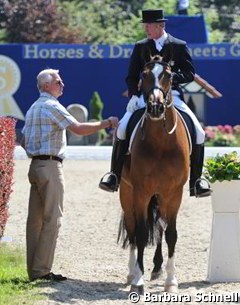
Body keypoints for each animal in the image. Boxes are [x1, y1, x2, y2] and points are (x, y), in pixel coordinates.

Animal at [117, 55, 189, 294]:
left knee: (160, 227)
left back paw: (157, 268)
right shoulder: (140, 192)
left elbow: (171, 234)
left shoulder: (174, 193)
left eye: (169, 75)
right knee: (132, 230)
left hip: (161, 196)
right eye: (144, 75)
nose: (156, 107)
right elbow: (139, 234)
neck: (161, 143)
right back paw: (132, 273)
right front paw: (138, 282)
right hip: (127, 194)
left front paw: (171, 281)